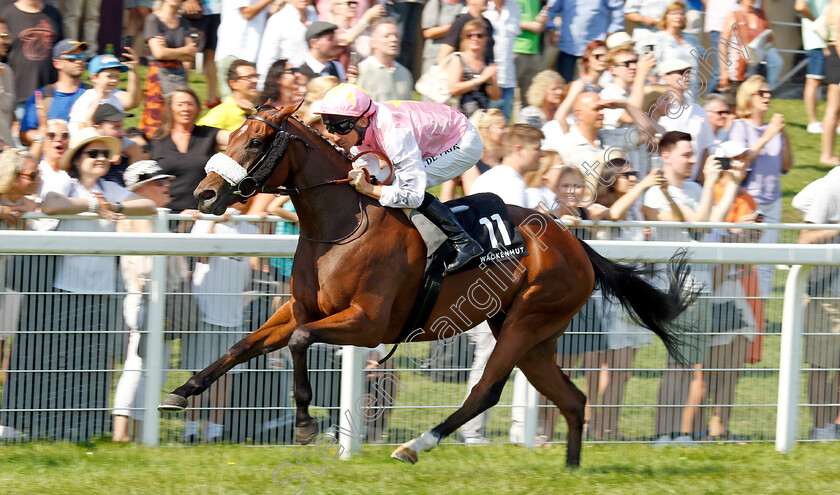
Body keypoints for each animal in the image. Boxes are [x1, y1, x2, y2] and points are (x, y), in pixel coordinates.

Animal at [159, 103, 696, 464]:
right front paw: (182, 392)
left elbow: (298, 341)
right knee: (572, 399)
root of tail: (576, 244)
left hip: (526, 321)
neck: (341, 225)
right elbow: (245, 344)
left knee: (486, 391)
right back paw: (570, 468)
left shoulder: (368, 323)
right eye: (228, 135)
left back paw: (415, 445)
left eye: (254, 142)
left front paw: (308, 424)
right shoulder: (303, 307)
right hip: (533, 335)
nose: (204, 195)